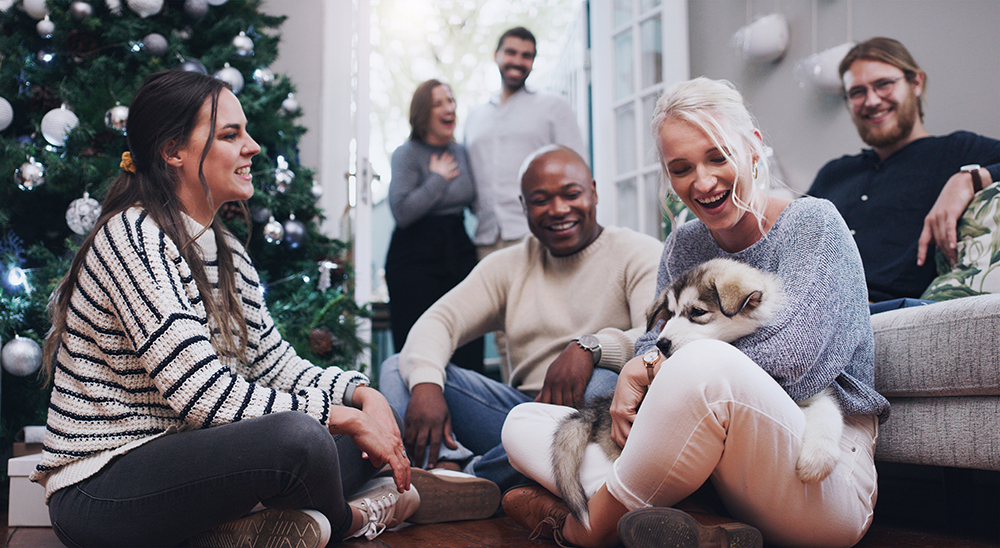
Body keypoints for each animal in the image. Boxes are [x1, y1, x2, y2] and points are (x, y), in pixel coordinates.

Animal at [556, 258, 844, 524]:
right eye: (670, 314)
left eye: (696, 311)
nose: (661, 344)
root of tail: (599, 408)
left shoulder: (808, 388)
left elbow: (829, 410)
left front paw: (817, 460)